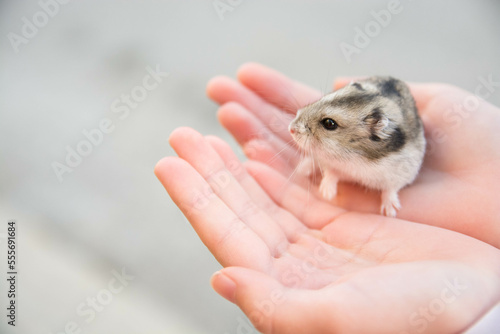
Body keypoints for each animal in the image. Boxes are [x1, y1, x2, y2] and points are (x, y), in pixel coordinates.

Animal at [290, 76, 426, 217]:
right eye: (322, 99)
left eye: (329, 123)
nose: (291, 128)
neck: (353, 154)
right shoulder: (328, 161)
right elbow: (331, 172)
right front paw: (327, 193)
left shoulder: (403, 173)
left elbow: (391, 189)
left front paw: (389, 212)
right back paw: (302, 169)